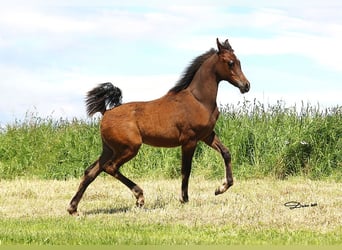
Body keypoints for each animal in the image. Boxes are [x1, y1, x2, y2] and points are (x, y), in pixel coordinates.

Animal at [67, 37, 248, 215]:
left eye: (239, 61)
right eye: (230, 62)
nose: (246, 85)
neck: (199, 100)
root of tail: (106, 112)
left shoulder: (207, 136)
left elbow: (226, 153)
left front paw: (221, 188)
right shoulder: (189, 140)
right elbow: (186, 170)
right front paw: (184, 199)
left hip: (110, 149)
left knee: (91, 171)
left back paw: (73, 209)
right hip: (129, 148)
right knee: (110, 167)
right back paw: (139, 197)